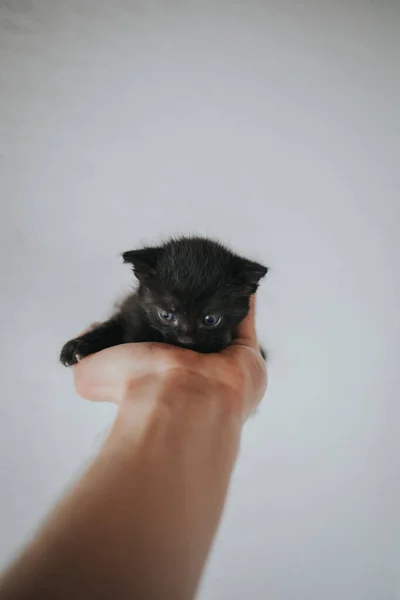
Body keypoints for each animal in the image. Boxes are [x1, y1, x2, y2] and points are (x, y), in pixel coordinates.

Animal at [60, 236, 268, 366]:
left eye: (210, 319)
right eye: (166, 315)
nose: (186, 338)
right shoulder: (131, 310)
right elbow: (111, 327)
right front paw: (77, 347)